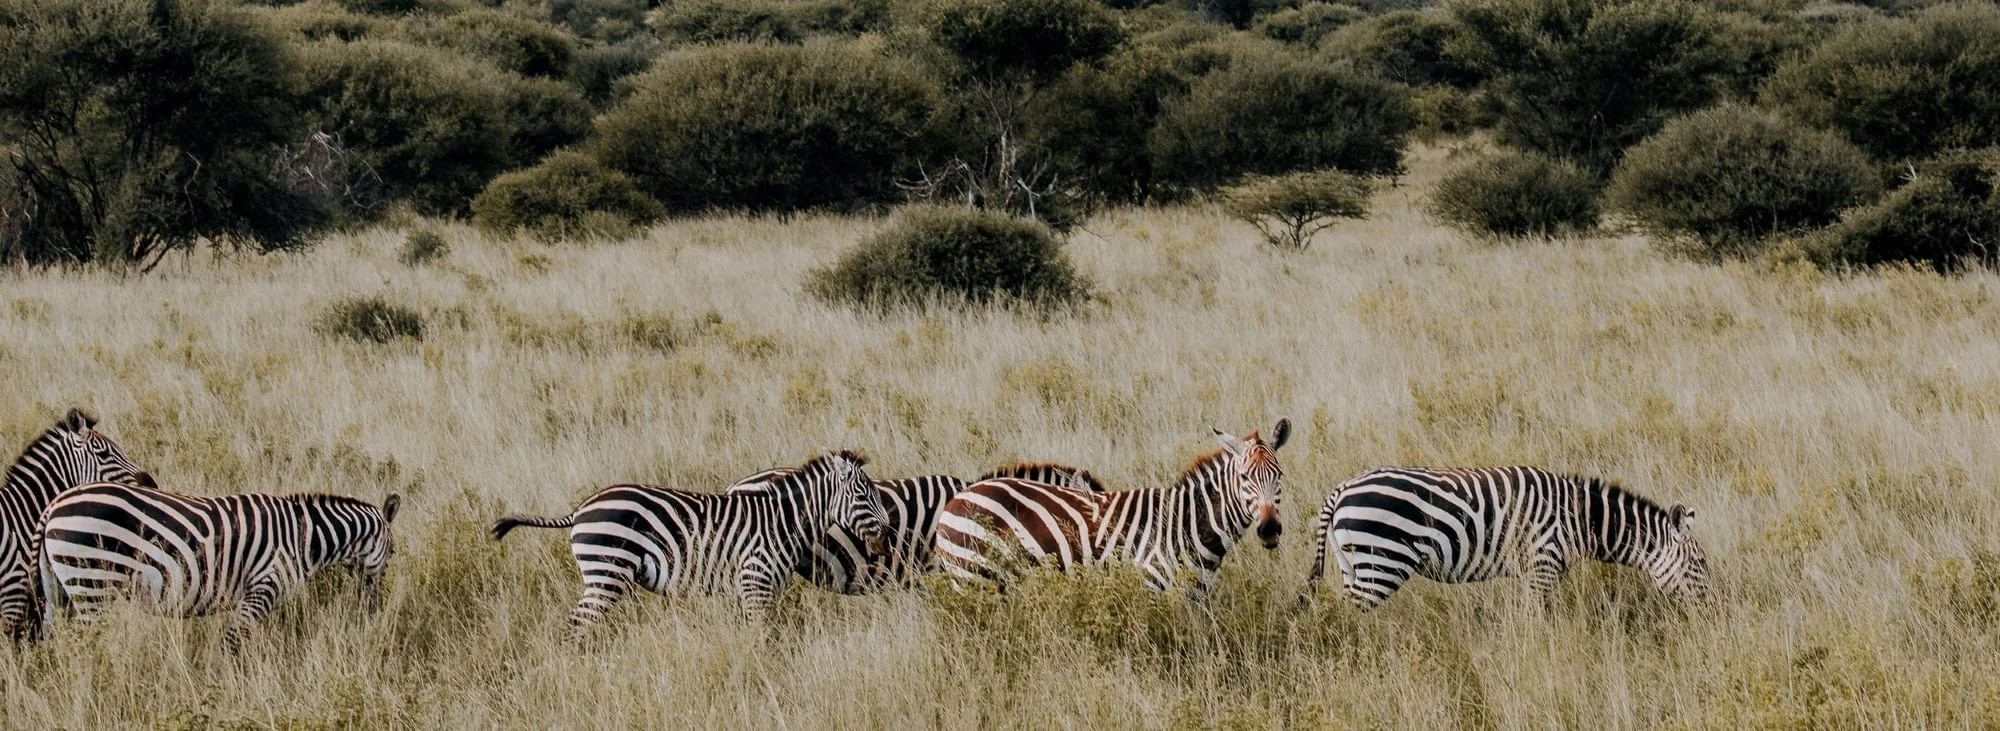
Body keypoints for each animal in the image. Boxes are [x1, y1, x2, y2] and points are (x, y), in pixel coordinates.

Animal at [37, 482, 401, 652]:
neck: (302, 537)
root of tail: (54, 505)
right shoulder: (262, 587)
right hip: (91, 583)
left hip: (61, 590)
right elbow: (233, 643)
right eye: (394, 552)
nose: (374, 608)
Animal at [490, 450, 890, 638]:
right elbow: (761, 638)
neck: (782, 522)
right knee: (576, 625)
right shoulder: (755, 583)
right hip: (606, 574)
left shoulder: (748, 590)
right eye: (863, 495)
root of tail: (579, 510)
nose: (886, 540)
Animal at [934, 420, 1289, 600]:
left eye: (1279, 476)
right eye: (1244, 478)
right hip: (971, 575)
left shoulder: (1197, 598)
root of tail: (959, 496)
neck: (1184, 526)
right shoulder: (1151, 586)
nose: (1270, 528)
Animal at [1298, 466, 1711, 610]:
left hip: (1353, 564)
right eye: (1698, 564)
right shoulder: (1543, 563)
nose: (1715, 609)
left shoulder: (1541, 570)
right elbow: (1536, 619)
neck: (1578, 521)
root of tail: (1342, 488)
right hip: (1380, 561)